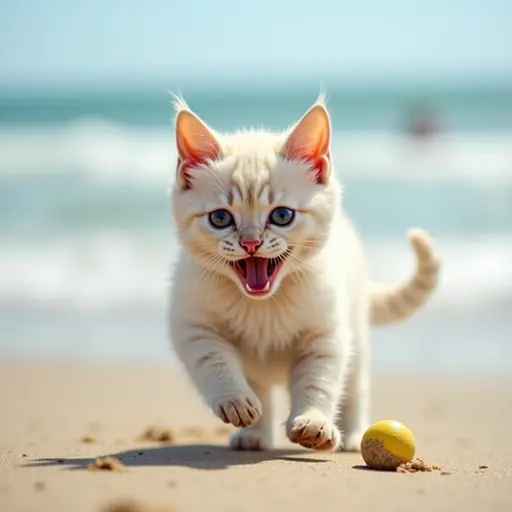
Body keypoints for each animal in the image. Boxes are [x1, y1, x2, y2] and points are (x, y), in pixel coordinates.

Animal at [168, 93, 440, 452]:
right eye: (220, 218)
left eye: (282, 215)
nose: (251, 242)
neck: (263, 305)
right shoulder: (193, 325)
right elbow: (213, 362)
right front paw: (235, 400)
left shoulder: (326, 335)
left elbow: (319, 381)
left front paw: (314, 422)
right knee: (262, 389)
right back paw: (254, 433)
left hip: (356, 336)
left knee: (355, 388)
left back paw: (354, 435)